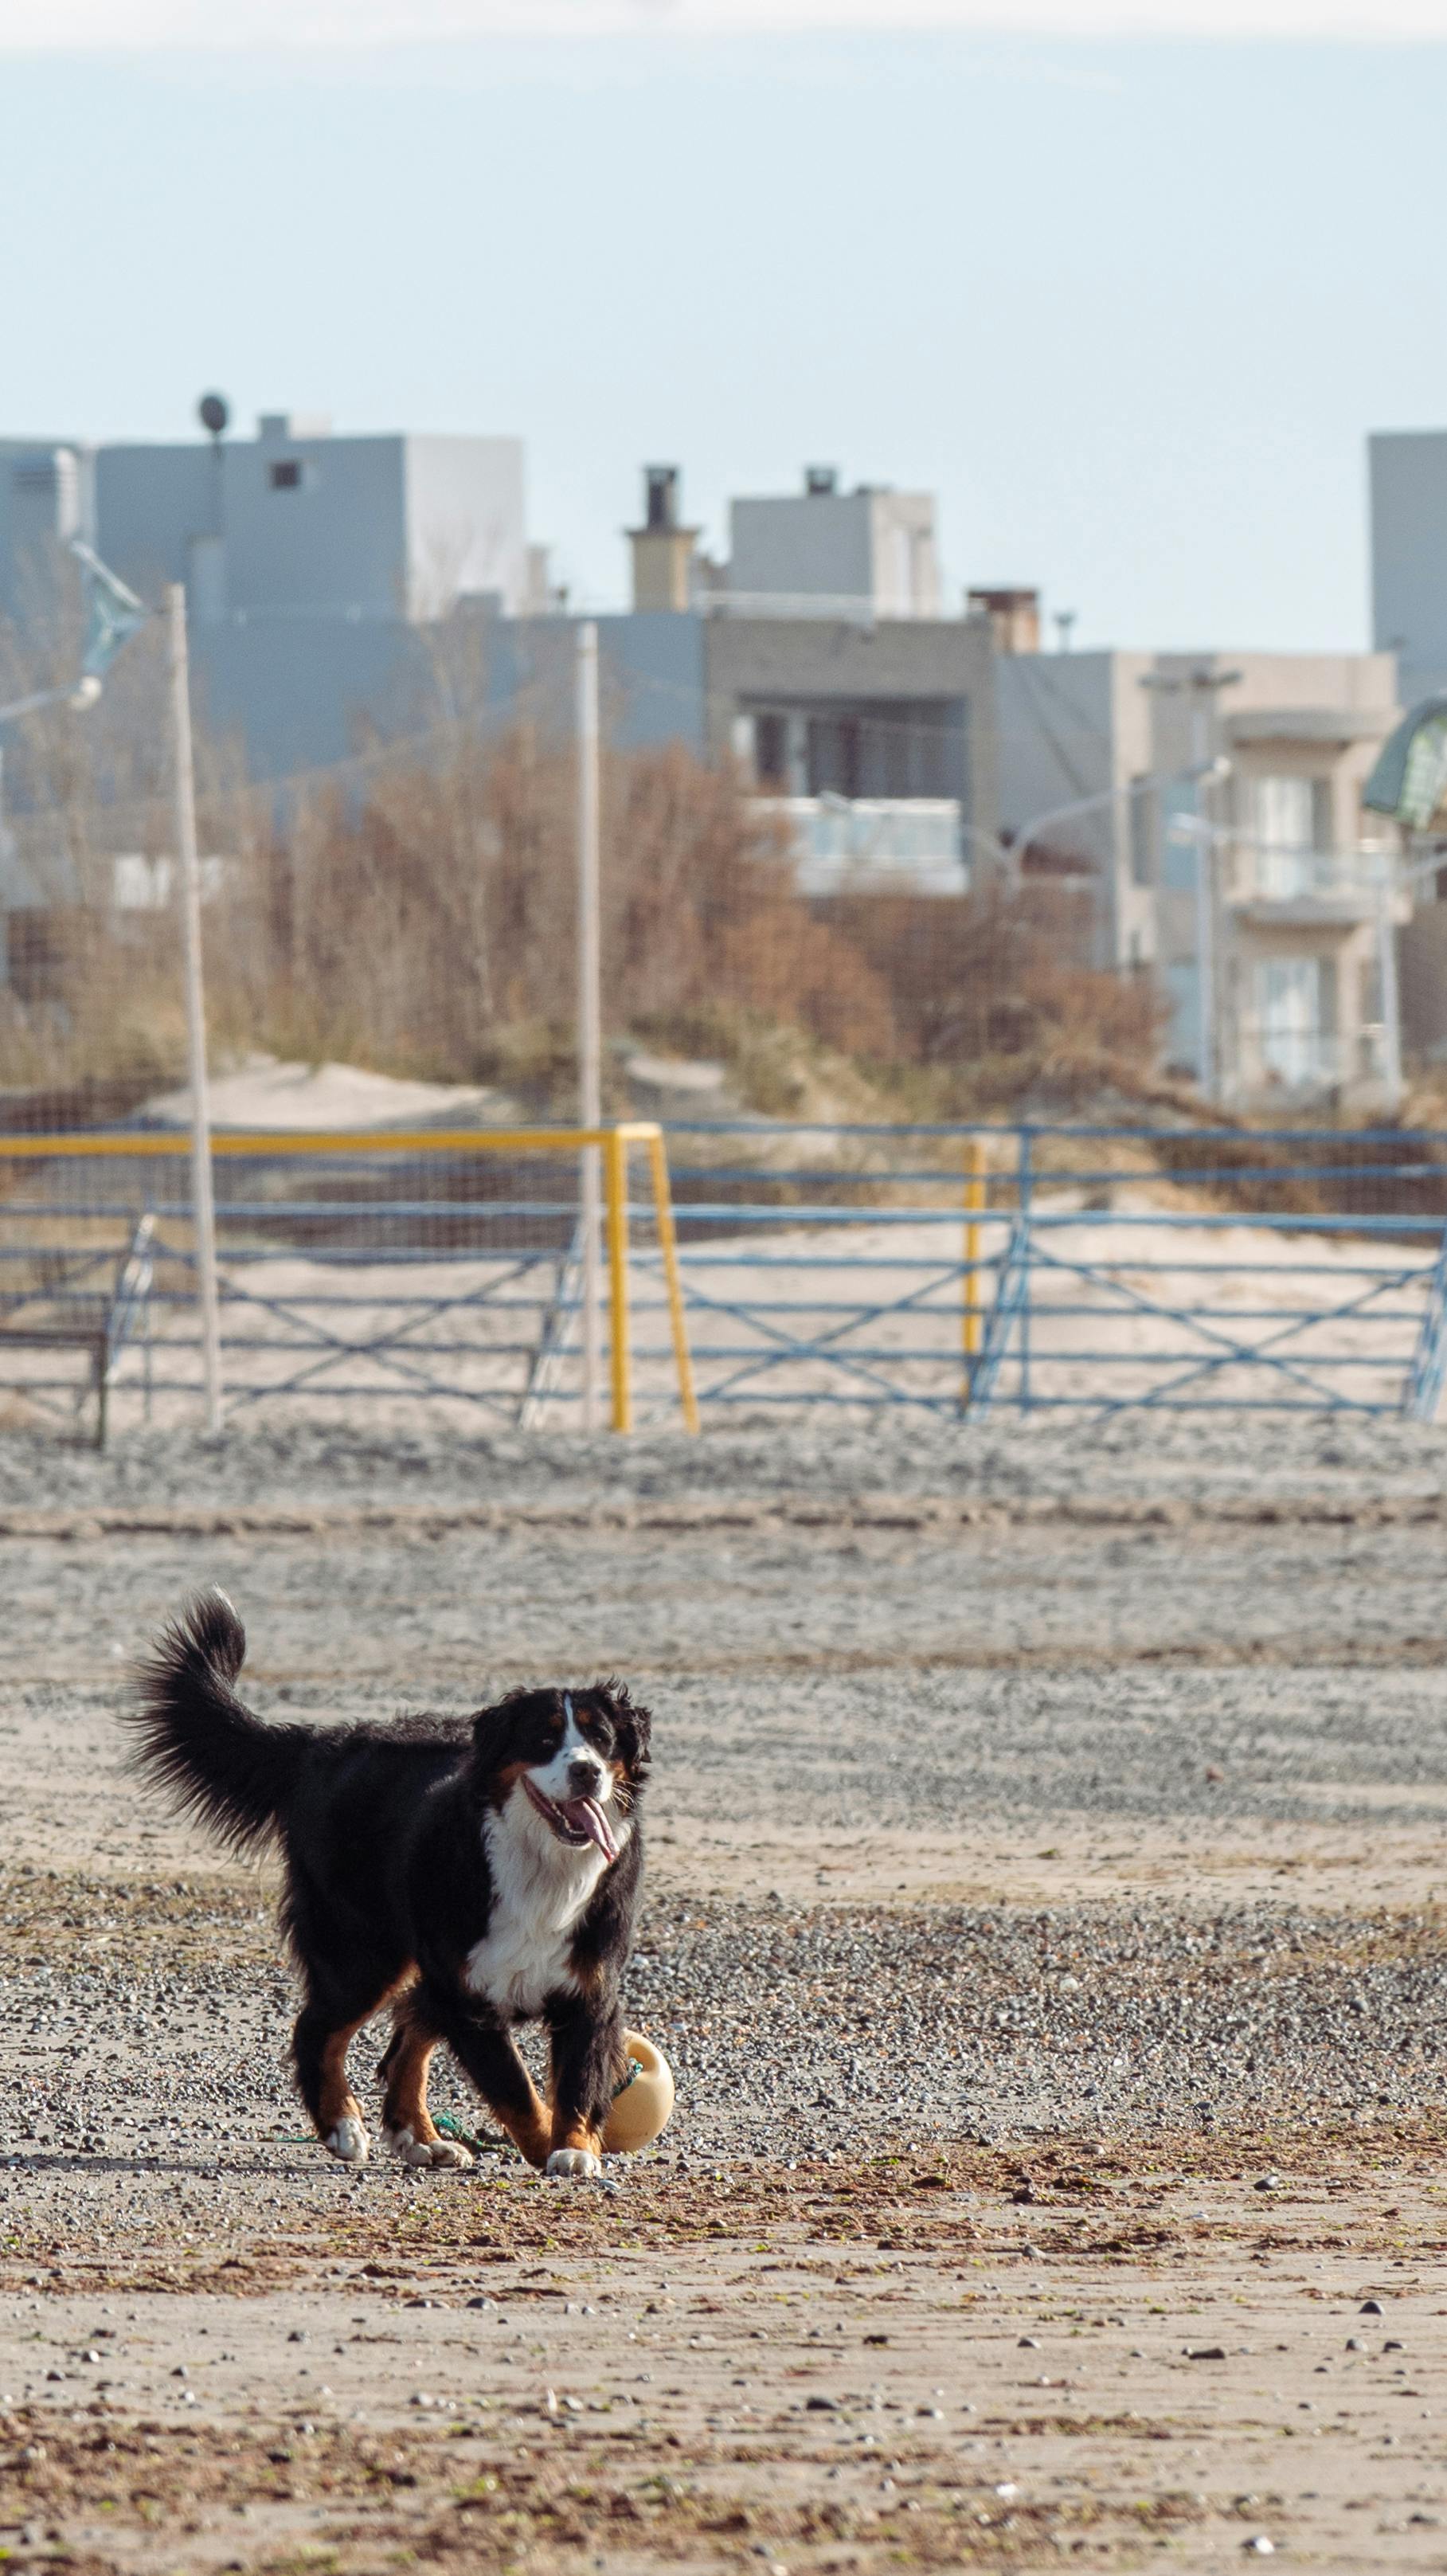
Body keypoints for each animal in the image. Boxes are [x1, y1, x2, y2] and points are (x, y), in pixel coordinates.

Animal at [129, 1587, 648, 2174]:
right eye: (543, 1739)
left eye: (602, 1740)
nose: (587, 1771)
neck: (543, 1866)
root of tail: (321, 1744)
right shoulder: (468, 1999)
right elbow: (517, 2092)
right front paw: (547, 2149)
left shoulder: (589, 1989)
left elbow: (577, 2084)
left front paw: (575, 2149)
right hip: (362, 1953)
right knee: (318, 2030)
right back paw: (342, 2126)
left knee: (407, 2037)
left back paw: (419, 2138)